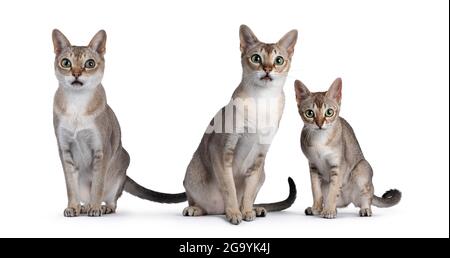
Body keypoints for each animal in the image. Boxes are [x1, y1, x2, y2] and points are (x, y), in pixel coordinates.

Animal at [51, 29, 185, 217]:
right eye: (66, 63)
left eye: (90, 63)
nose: (76, 74)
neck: (77, 105)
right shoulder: (64, 150)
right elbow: (71, 187)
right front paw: (73, 207)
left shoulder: (101, 150)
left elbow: (97, 186)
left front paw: (95, 207)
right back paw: (84, 207)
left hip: (121, 167)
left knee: (112, 199)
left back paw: (102, 207)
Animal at [183, 25, 298, 225]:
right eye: (256, 58)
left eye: (279, 60)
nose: (267, 68)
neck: (262, 102)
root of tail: (217, 210)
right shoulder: (222, 150)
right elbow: (229, 188)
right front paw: (234, 213)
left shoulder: (260, 156)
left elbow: (249, 192)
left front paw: (246, 212)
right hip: (191, 174)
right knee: (200, 204)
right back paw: (196, 209)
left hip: (263, 173)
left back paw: (256, 209)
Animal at [294, 78, 402, 218]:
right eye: (309, 113)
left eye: (329, 112)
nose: (319, 124)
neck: (320, 139)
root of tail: (348, 199)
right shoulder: (313, 166)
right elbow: (316, 191)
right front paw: (316, 208)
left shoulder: (338, 165)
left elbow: (333, 190)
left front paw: (328, 211)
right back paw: (327, 208)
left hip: (361, 168)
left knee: (367, 196)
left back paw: (364, 209)